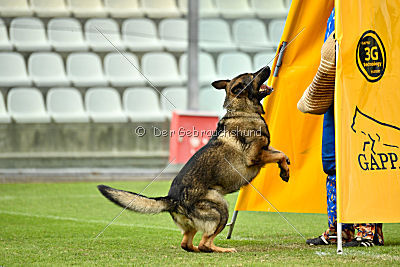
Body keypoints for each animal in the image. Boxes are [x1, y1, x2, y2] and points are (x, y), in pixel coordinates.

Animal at [98, 66, 290, 253]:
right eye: (253, 75)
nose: (267, 67)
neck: (242, 111)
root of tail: (172, 199)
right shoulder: (255, 156)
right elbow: (280, 154)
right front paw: (285, 171)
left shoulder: (265, 150)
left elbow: (282, 153)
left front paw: (285, 169)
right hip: (221, 207)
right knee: (206, 243)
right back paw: (221, 249)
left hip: (198, 222)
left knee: (186, 243)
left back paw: (198, 248)